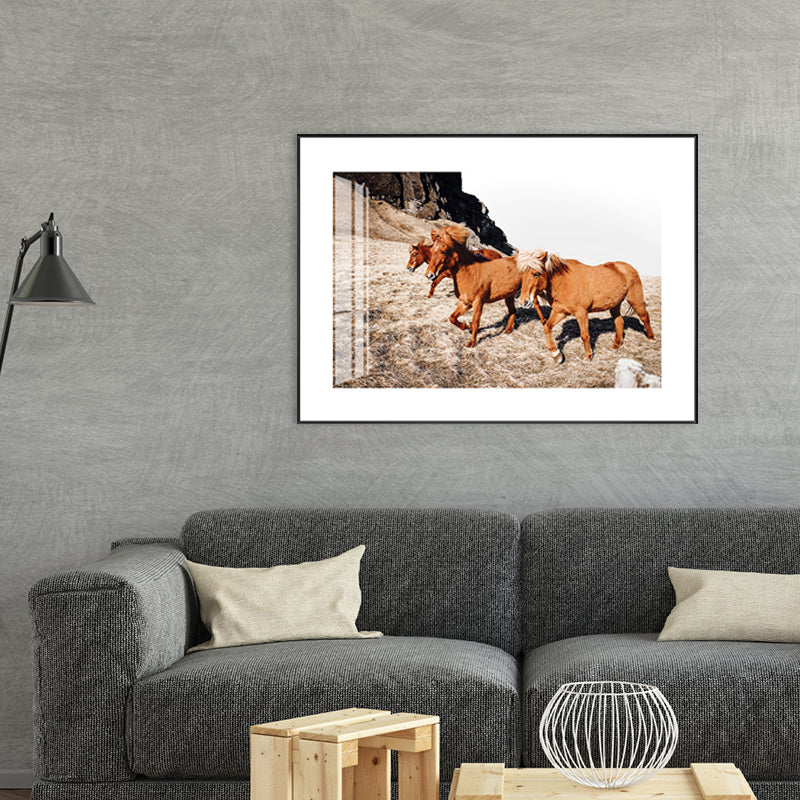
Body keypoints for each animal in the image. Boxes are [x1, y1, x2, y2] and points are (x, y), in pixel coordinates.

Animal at [519, 252, 655, 362]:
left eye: (536, 274)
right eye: (521, 275)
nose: (524, 301)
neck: (563, 282)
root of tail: (628, 267)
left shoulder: (581, 313)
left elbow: (584, 335)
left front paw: (588, 356)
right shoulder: (560, 311)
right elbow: (547, 327)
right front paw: (556, 355)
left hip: (635, 299)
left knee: (644, 316)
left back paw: (651, 338)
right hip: (614, 305)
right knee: (619, 322)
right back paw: (616, 345)